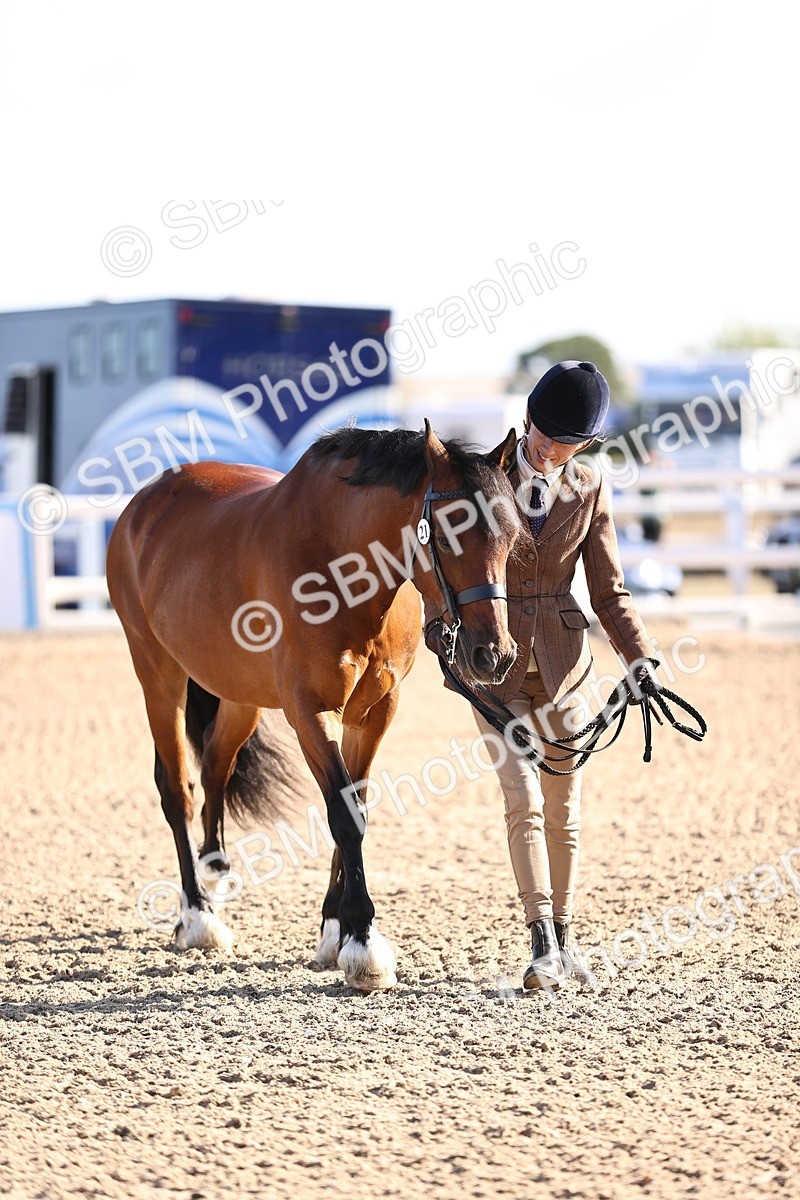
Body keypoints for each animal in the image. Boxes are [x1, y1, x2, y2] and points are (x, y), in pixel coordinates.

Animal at [106, 421, 521, 990]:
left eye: (512, 537)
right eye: (447, 534)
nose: (493, 655)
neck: (341, 565)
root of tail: (142, 505)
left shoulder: (376, 710)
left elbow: (358, 805)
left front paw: (336, 931)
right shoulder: (309, 712)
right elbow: (344, 815)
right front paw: (362, 943)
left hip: (238, 695)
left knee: (215, 766)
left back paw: (216, 871)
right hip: (158, 675)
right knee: (178, 791)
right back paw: (198, 916)